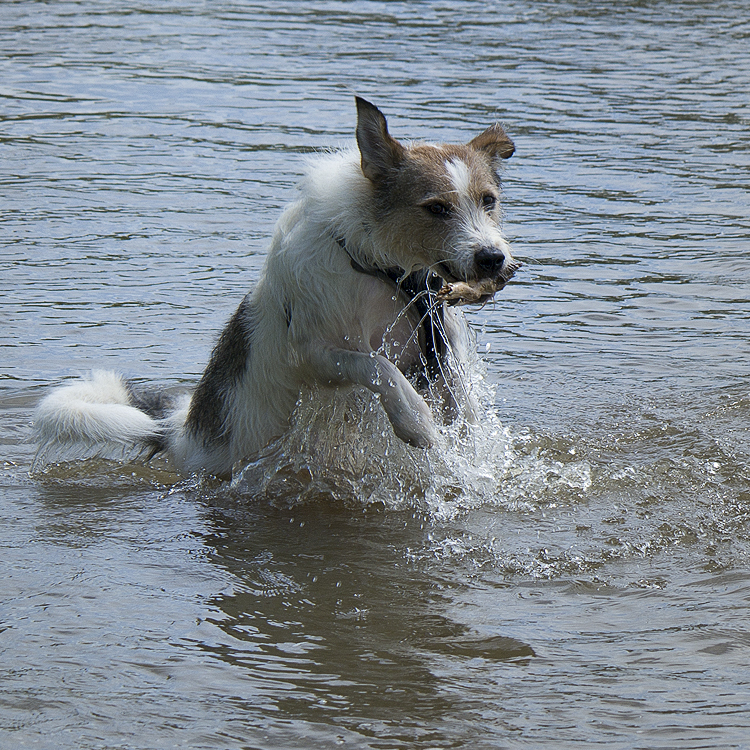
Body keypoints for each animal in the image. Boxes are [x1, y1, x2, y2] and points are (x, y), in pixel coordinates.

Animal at [33, 98, 516, 482]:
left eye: (488, 200)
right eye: (436, 208)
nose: (492, 259)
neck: (385, 271)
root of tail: (178, 427)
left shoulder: (443, 350)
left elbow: (463, 407)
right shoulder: (315, 355)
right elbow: (378, 368)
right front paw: (415, 421)